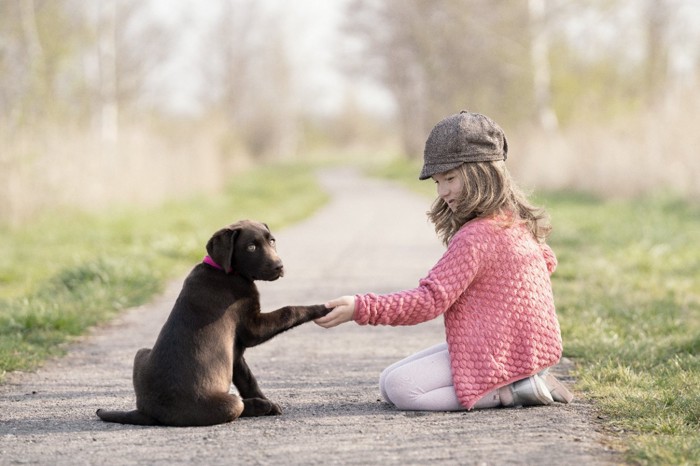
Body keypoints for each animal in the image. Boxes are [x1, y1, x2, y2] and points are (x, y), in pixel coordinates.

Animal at [95, 220, 330, 428]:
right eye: (251, 247)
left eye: (272, 241)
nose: (279, 266)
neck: (223, 269)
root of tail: (149, 413)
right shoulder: (252, 328)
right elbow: (289, 310)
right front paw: (322, 308)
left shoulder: (235, 352)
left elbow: (248, 378)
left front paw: (269, 402)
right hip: (228, 404)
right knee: (237, 405)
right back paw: (257, 406)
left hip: (141, 352)